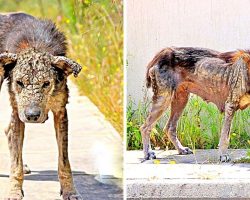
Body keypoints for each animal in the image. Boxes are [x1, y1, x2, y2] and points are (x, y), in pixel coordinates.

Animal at [0, 12, 82, 200]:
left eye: (46, 83)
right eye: (19, 83)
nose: (32, 116)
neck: (35, 46)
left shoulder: (60, 110)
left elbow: (64, 160)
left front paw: (70, 191)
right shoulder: (17, 110)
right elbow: (15, 165)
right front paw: (14, 191)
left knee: (8, 131)